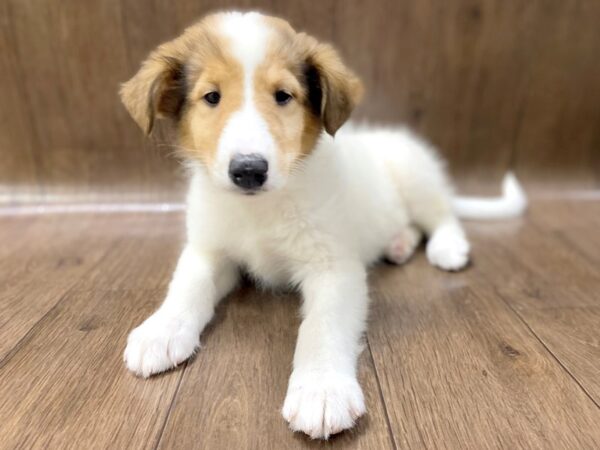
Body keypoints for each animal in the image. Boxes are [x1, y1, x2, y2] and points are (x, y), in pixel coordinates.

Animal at [120, 11, 524, 440]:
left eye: (283, 95)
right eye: (212, 97)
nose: (249, 171)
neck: (260, 210)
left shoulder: (334, 267)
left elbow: (320, 327)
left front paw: (322, 388)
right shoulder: (208, 250)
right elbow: (186, 285)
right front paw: (161, 330)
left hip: (416, 178)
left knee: (443, 215)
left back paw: (447, 248)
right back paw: (398, 244)